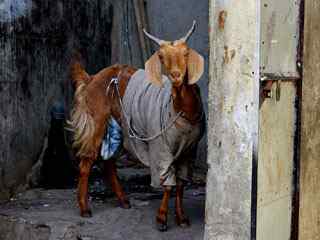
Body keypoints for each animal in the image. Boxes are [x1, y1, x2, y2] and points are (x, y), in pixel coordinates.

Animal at [69, 22, 205, 231]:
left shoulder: (189, 150)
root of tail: (91, 78)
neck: (182, 110)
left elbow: (182, 184)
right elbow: (167, 182)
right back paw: (85, 208)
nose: (176, 76)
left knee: (109, 163)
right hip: (97, 121)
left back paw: (124, 201)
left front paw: (182, 218)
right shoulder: (160, 147)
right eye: (161, 56)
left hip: (119, 126)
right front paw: (162, 219)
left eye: (186, 53)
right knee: (87, 162)